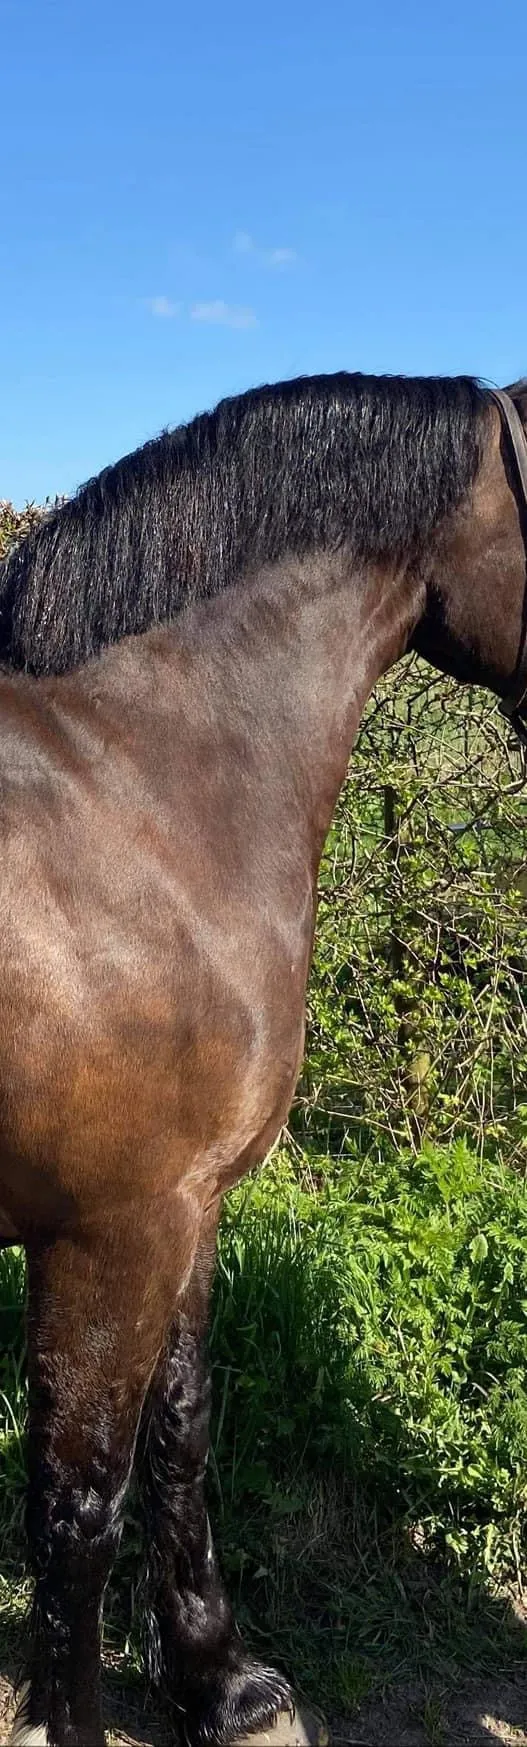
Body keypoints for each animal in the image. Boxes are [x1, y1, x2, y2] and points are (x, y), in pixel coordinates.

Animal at [0, 372, 523, 1747]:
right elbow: (76, 1514)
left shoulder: (185, 1209)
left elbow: (179, 1432)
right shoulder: (107, 1231)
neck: (136, 788)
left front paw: (220, 1683)